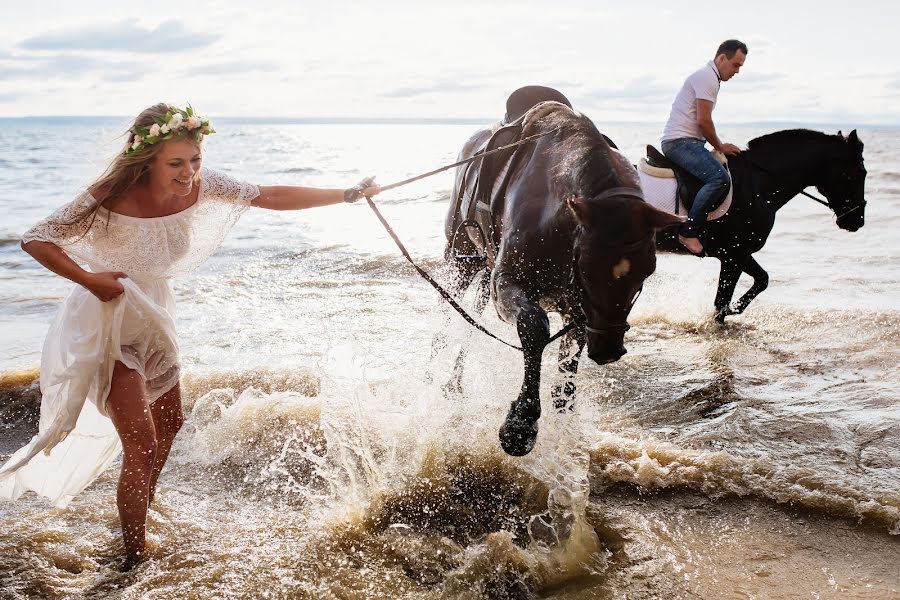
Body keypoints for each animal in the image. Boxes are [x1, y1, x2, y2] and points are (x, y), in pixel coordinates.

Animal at [442, 102, 684, 454]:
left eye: (648, 271)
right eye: (586, 267)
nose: (609, 349)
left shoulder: (579, 309)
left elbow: (566, 376)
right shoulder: (506, 283)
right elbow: (534, 325)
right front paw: (520, 425)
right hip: (460, 261)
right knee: (447, 317)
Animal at [652, 129, 864, 322]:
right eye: (860, 173)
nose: (858, 220)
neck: (757, 186)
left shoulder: (740, 254)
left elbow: (762, 280)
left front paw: (736, 308)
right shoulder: (734, 255)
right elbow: (721, 304)